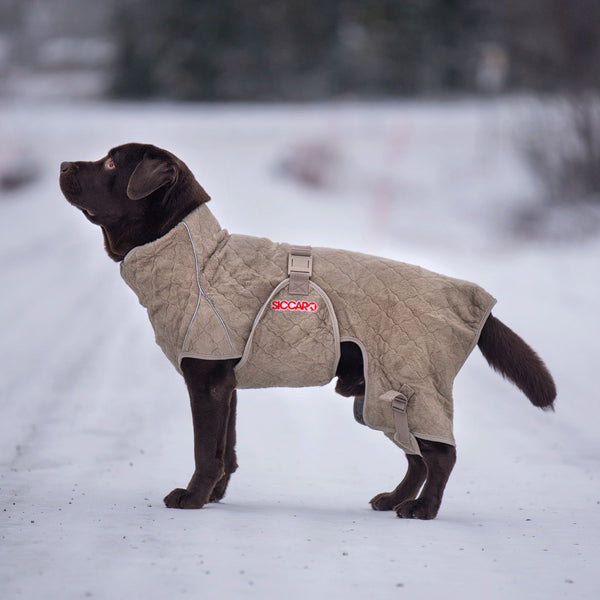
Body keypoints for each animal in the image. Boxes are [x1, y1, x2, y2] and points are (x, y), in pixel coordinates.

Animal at [58, 143, 556, 516]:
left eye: (110, 163)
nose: (63, 165)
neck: (196, 256)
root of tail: (471, 298)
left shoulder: (207, 379)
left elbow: (205, 450)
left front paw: (192, 497)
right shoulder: (226, 382)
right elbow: (225, 450)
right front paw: (214, 496)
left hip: (408, 387)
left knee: (441, 455)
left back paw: (422, 510)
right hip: (379, 398)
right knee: (418, 457)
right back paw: (395, 499)